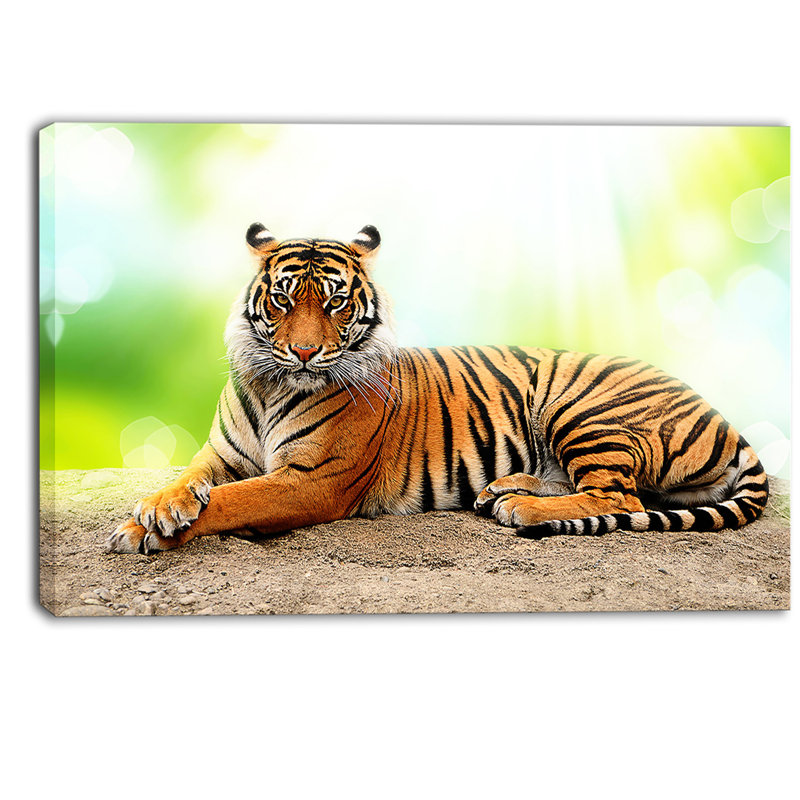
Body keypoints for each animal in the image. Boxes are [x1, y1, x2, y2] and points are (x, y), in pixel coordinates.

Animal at [106, 223, 769, 554]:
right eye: (284, 299)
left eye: (336, 302)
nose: (304, 352)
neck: (273, 386)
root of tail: (724, 417)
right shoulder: (219, 454)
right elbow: (189, 482)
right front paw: (153, 510)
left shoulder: (312, 481)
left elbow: (231, 501)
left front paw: (146, 530)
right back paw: (503, 489)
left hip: (582, 406)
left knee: (618, 496)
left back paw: (521, 507)